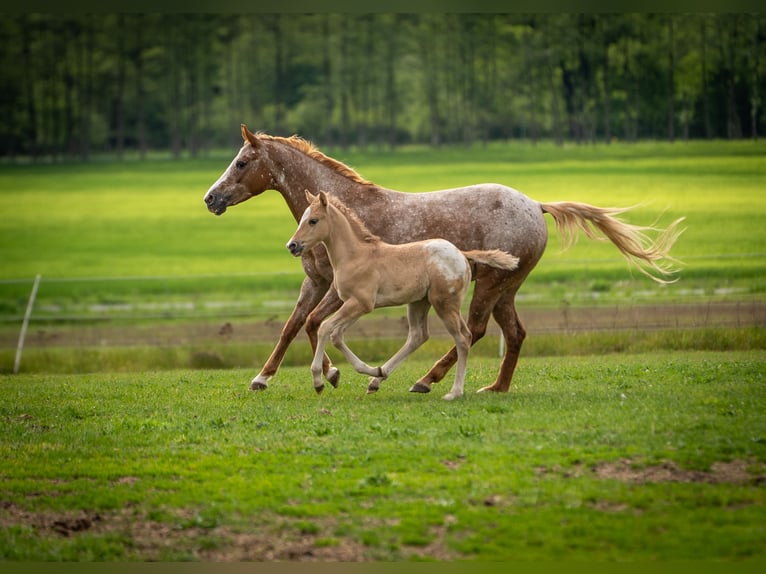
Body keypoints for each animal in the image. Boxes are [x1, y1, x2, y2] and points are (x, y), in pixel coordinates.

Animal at [286, 191, 520, 399]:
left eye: (313, 220)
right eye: (302, 220)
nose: (292, 245)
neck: (356, 255)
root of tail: (462, 254)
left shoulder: (361, 303)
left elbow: (325, 328)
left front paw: (319, 381)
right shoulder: (355, 306)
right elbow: (336, 335)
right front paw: (371, 370)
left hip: (444, 304)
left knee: (463, 338)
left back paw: (454, 392)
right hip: (419, 302)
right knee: (418, 336)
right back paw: (379, 378)